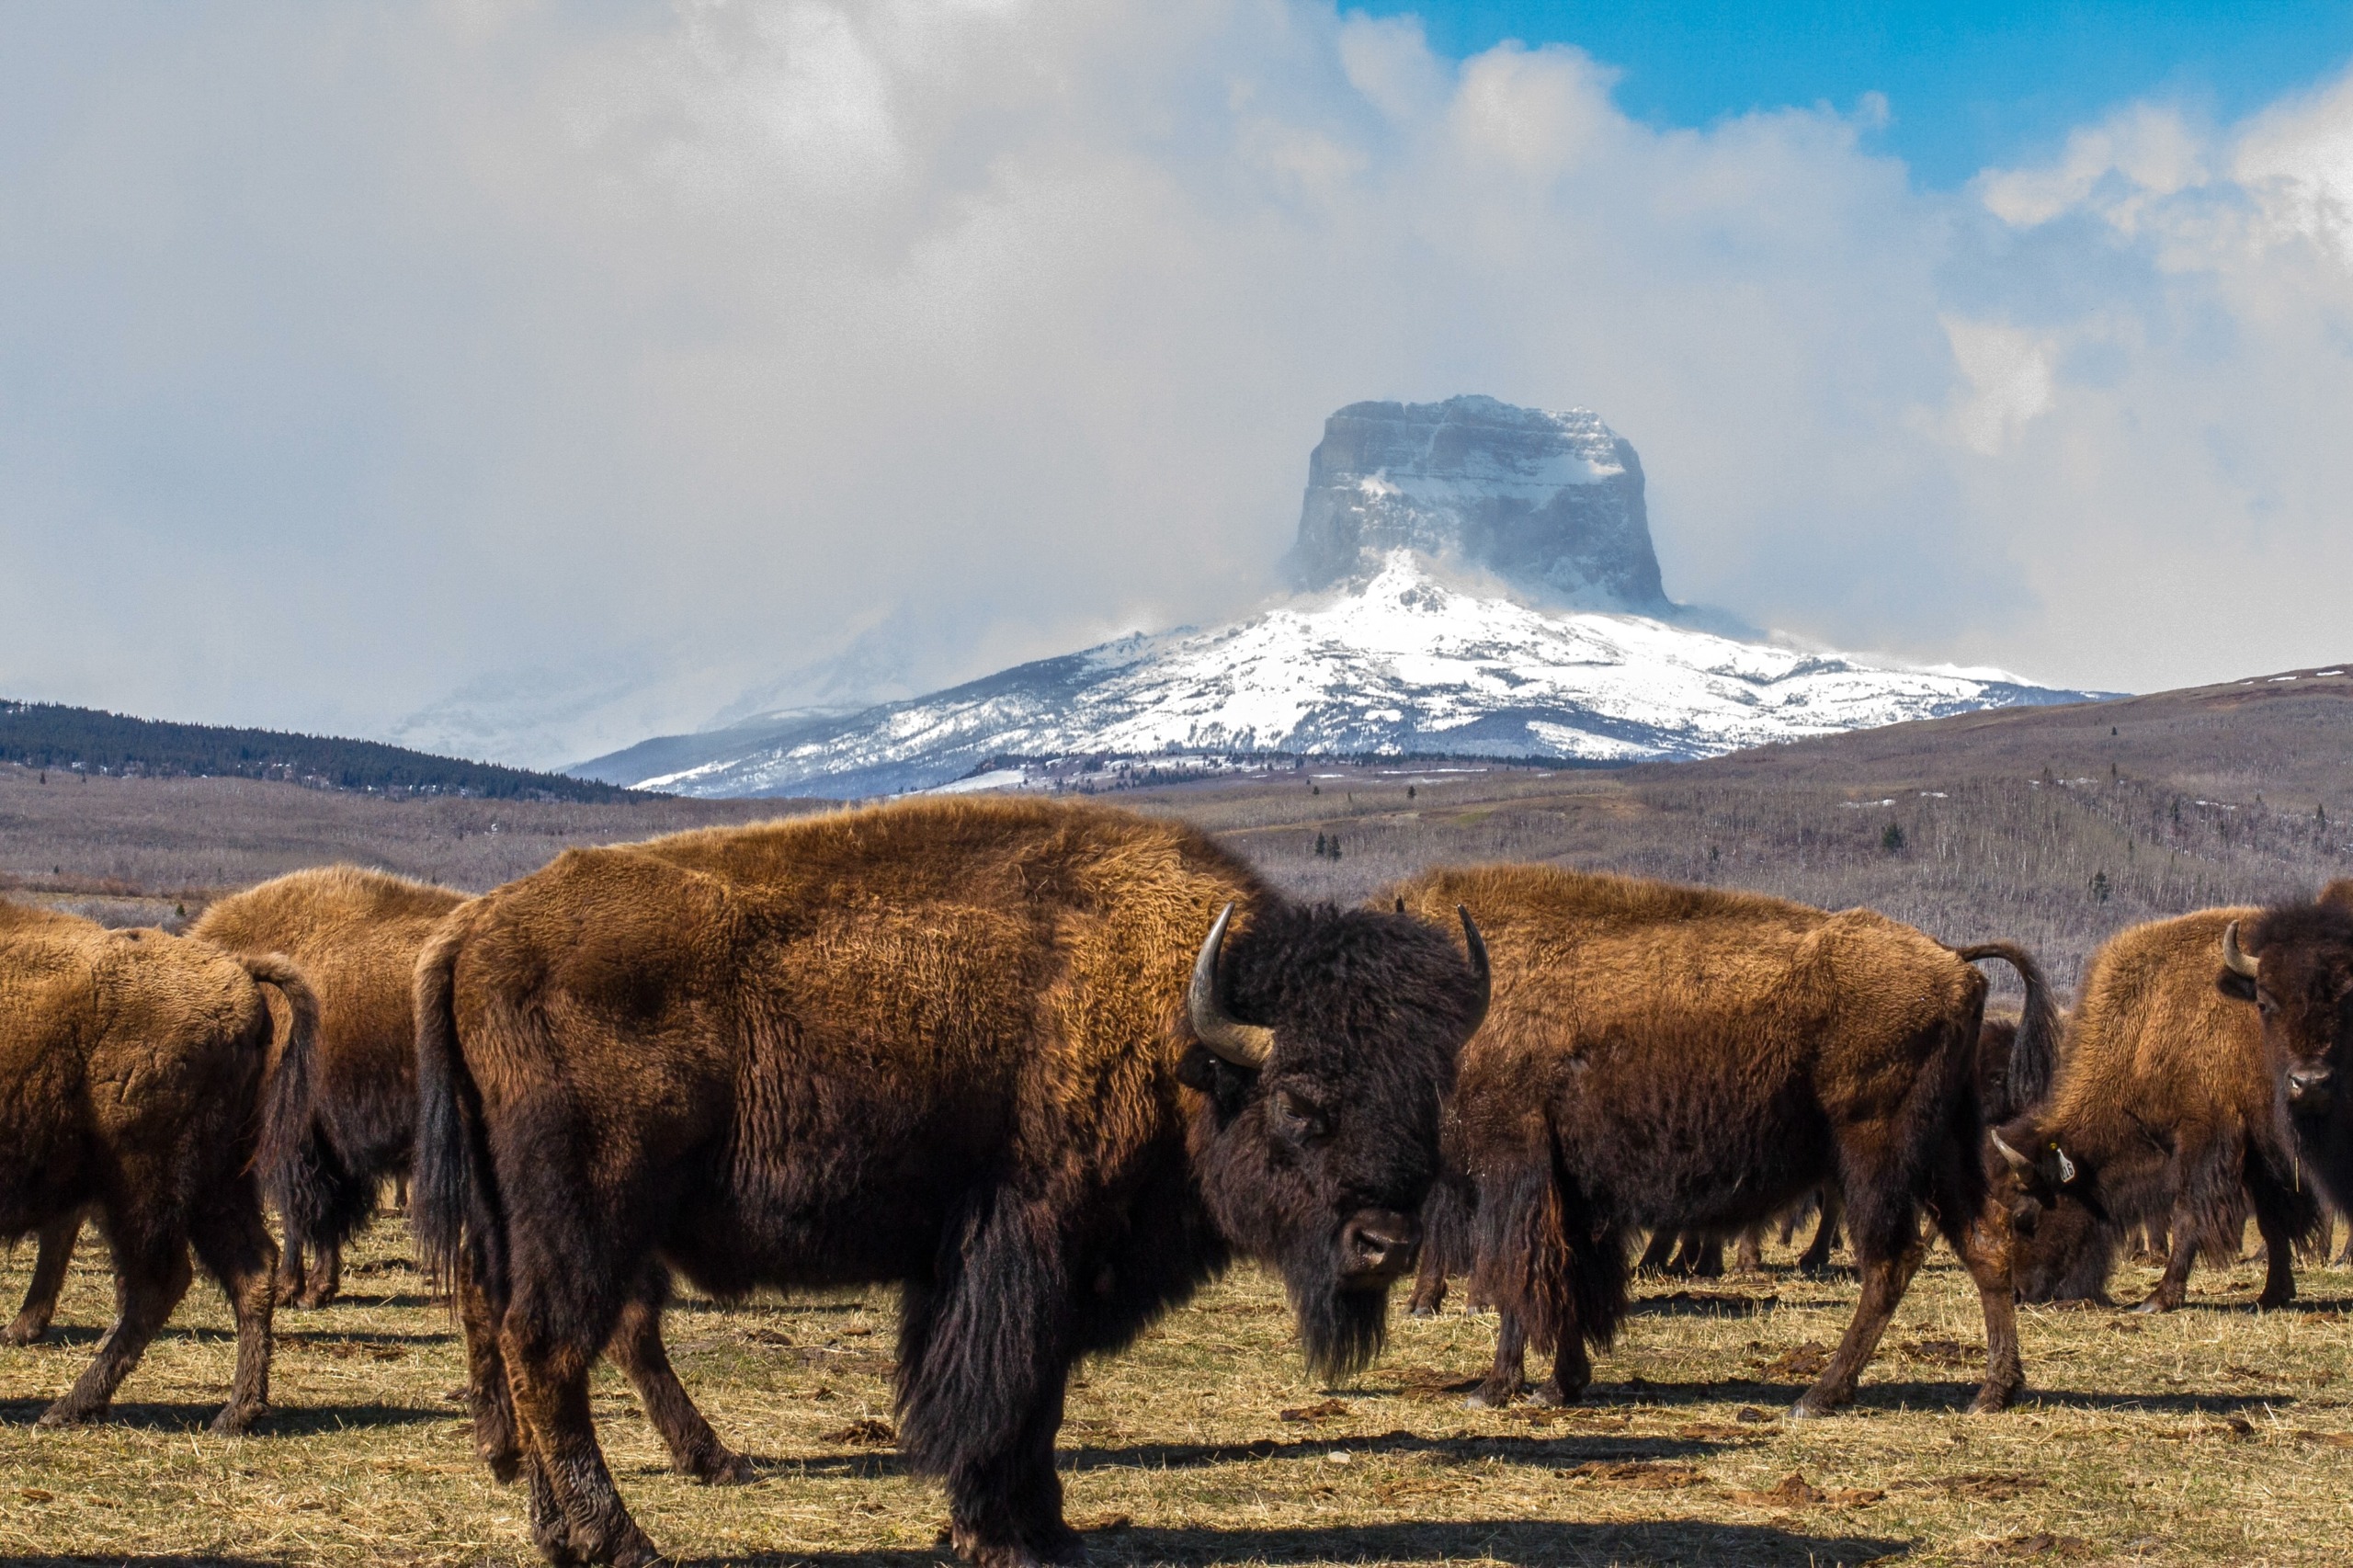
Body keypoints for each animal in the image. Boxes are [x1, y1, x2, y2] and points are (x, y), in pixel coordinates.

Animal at [0, 890, 315, 1431]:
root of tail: (238, 972)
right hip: (216, 1178)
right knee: (251, 1266)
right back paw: (237, 1412)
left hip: (141, 1179)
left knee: (159, 1280)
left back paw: (69, 1406)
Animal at [414, 800, 1486, 1553]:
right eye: (1300, 1100)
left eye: (1429, 1094)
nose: (1385, 1243)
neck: (1175, 1026)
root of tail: (473, 929)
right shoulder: (1029, 1245)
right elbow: (1008, 1388)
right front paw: (1003, 1534)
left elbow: (1036, 1396)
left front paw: (1046, 1529)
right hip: (588, 1211)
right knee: (548, 1347)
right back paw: (619, 1539)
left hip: (517, 1220)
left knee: (515, 1336)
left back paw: (558, 1533)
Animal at [1383, 866, 2052, 1412]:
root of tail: (1954, 960)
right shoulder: (1571, 1192)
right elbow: (1568, 1280)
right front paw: (1560, 1385)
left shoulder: (1516, 1169)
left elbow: (1521, 1278)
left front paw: (1496, 1388)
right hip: (1944, 1147)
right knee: (1985, 1243)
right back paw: (1994, 1392)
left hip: (1875, 1149)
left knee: (1892, 1260)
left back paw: (1820, 1395)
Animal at [1995, 903, 2325, 1309]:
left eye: (2025, 1215)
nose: (2017, 1293)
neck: (2147, 1026)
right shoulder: (2258, 1149)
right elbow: (2271, 1219)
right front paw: (2273, 1294)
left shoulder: (2205, 1136)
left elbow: (2186, 1214)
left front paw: (2158, 1298)